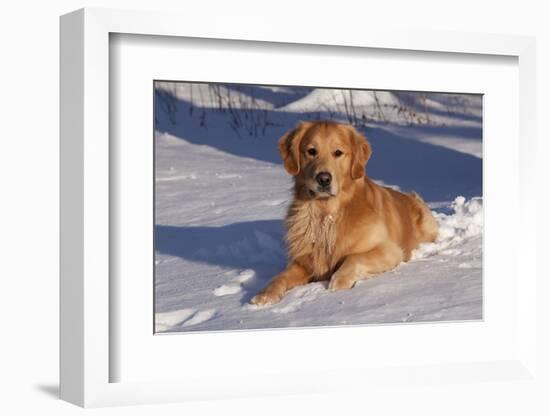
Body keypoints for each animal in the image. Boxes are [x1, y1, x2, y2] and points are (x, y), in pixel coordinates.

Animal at [253, 120, 440, 306]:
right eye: (311, 151)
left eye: (338, 153)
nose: (323, 179)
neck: (326, 215)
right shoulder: (303, 262)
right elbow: (280, 277)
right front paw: (265, 295)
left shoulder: (389, 250)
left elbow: (354, 258)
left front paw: (338, 284)